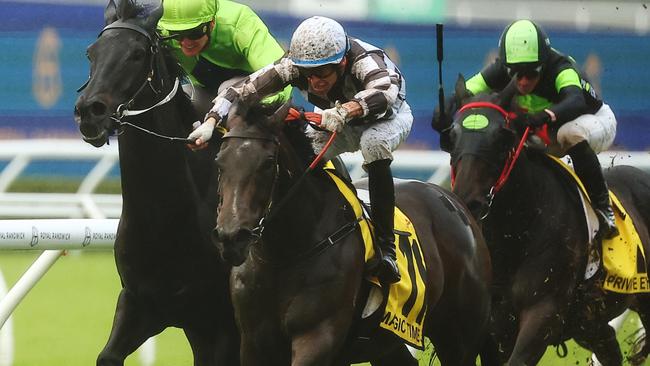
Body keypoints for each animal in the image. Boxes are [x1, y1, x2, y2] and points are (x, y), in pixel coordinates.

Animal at [73, 1, 238, 364]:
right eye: (91, 52)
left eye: (136, 54)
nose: (89, 111)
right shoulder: (141, 303)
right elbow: (108, 355)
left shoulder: (224, 322)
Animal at [210, 98, 494, 366]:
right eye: (219, 162)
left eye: (268, 163)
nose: (232, 237)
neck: (284, 255)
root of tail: (455, 202)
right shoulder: (254, 342)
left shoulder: (319, 336)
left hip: (459, 336)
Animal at [448, 76, 650, 364]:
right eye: (451, 136)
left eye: (502, 137)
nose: (468, 199)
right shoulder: (495, 327)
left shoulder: (544, 312)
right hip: (589, 322)